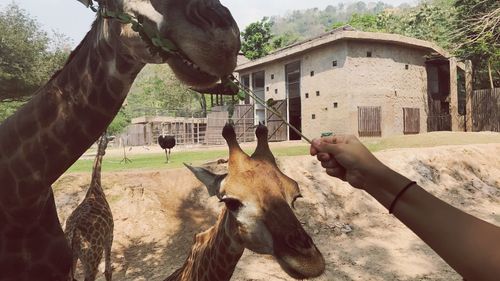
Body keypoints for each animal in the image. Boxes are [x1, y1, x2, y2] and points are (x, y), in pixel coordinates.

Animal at [64, 132, 113, 280]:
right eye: (107, 140)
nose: (103, 151)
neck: (95, 188)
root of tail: (72, 234)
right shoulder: (110, 234)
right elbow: (108, 270)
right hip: (92, 258)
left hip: (73, 257)